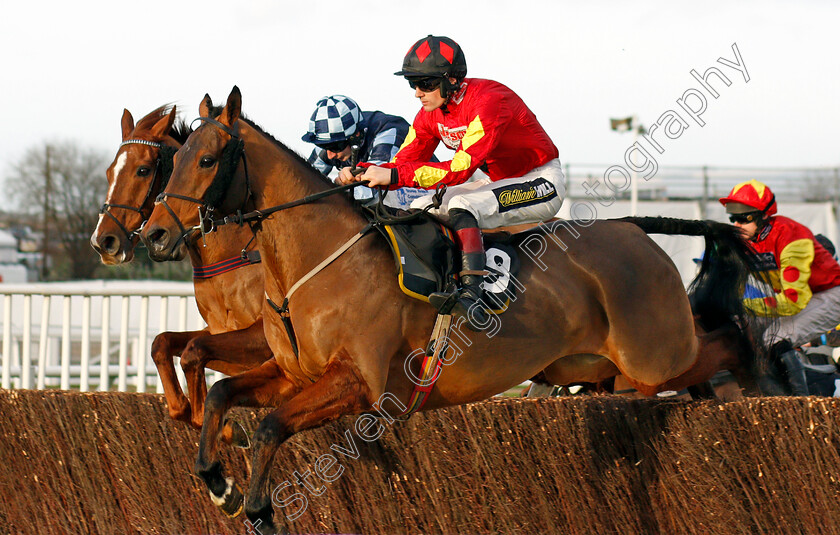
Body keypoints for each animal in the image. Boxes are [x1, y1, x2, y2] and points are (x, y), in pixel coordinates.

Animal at [91, 105, 270, 432]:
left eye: (143, 170)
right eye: (110, 171)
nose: (103, 241)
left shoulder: (265, 340)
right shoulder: (220, 334)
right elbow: (163, 343)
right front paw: (190, 411)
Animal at [141, 87, 772, 532]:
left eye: (208, 159)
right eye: (175, 160)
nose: (153, 235)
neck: (317, 260)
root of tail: (635, 230)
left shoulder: (360, 384)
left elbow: (271, 425)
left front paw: (260, 509)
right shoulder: (292, 372)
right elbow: (222, 393)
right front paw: (219, 483)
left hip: (654, 353)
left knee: (717, 343)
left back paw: (761, 368)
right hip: (590, 364)